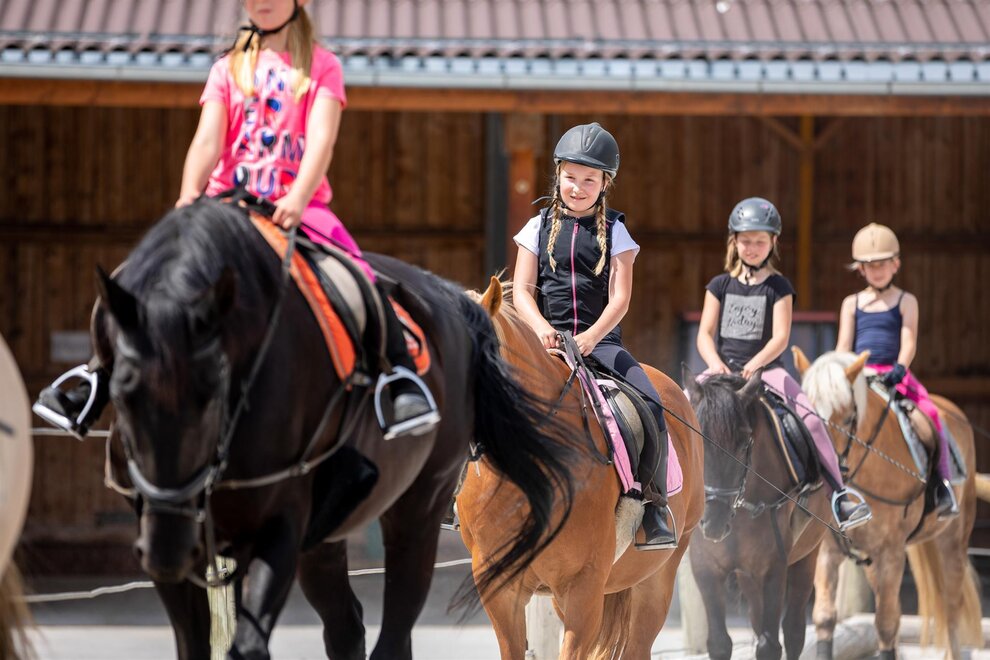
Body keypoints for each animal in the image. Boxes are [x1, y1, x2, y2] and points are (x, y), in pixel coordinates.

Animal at [94, 198, 576, 660]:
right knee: (349, 628)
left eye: (212, 388)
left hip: (414, 511)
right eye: (122, 393)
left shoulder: (279, 524)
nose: (167, 546)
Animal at [683, 368, 830, 660]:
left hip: (805, 558)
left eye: (743, 446)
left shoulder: (774, 568)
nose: (713, 523)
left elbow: (769, 645)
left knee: (794, 630)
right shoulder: (705, 567)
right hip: (748, 574)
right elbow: (719, 642)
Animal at [793, 348, 981, 660]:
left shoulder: (891, 551)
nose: (821, 467)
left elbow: (885, 623)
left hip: (952, 539)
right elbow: (825, 617)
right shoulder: (828, 550)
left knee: (951, 611)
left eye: (848, 418)